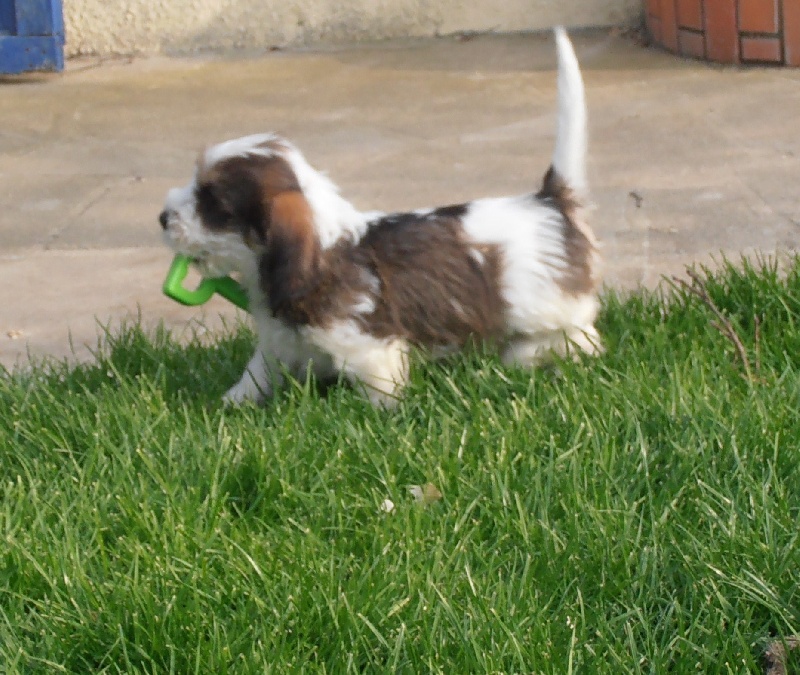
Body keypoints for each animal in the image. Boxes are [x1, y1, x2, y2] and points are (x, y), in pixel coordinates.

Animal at [159, 27, 600, 406]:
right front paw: (231, 402)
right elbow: (257, 374)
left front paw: (382, 412)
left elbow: (379, 389)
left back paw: (531, 357)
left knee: (582, 337)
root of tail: (549, 200)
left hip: (550, 310)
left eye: (213, 204)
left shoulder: (368, 348)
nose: (162, 217)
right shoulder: (277, 341)